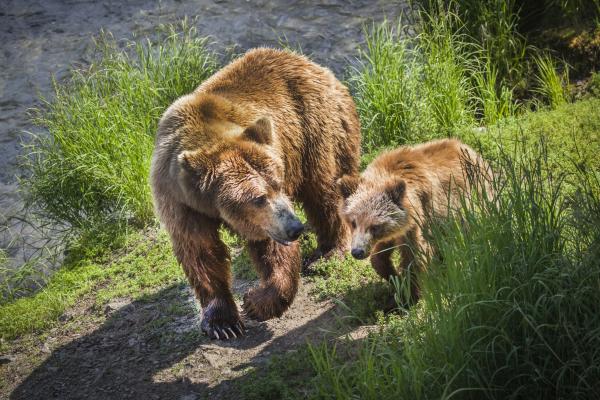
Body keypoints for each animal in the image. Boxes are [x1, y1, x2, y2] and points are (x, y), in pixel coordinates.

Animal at [150, 48, 360, 340]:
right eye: (258, 198)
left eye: (279, 183)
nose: (295, 228)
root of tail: (311, 64)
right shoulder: (179, 199)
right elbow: (200, 251)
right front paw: (223, 322)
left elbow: (271, 246)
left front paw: (255, 302)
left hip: (316, 128)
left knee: (324, 189)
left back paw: (329, 251)